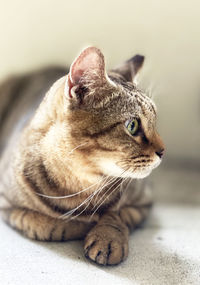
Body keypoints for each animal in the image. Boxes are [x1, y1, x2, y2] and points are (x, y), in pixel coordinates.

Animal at [0, 45, 164, 266]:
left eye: (154, 123)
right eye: (132, 125)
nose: (163, 150)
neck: (80, 186)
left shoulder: (143, 202)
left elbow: (116, 214)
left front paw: (108, 237)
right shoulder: (7, 205)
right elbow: (47, 226)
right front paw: (78, 225)